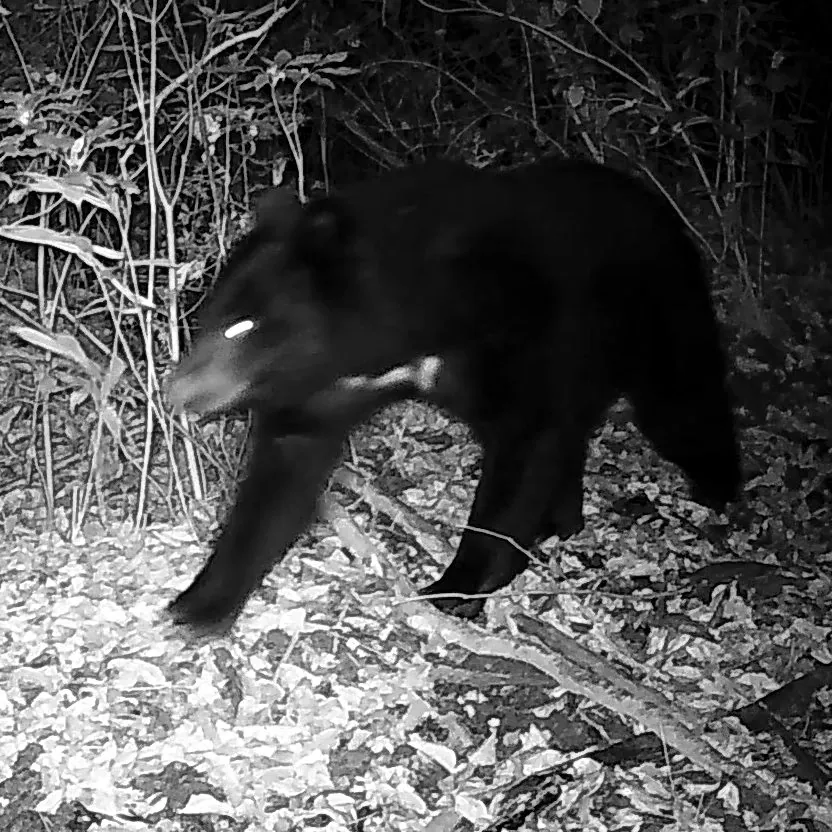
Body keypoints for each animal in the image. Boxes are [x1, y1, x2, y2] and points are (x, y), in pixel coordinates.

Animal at [167, 158, 741, 632]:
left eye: (243, 326)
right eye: (210, 317)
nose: (175, 390)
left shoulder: (526, 338)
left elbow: (522, 451)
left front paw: (452, 587)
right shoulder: (327, 387)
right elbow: (283, 469)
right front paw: (198, 604)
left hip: (662, 319)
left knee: (683, 406)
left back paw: (718, 491)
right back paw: (561, 522)